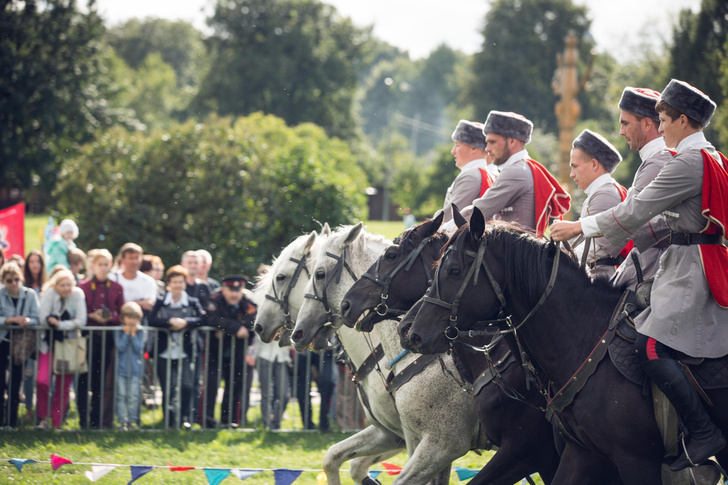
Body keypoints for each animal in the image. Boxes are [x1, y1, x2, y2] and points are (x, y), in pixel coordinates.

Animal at [404, 209, 728, 484]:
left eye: (454, 271)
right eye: (436, 267)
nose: (413, 333)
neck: (584, 339)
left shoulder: (633, 460)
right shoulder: (581, 455)